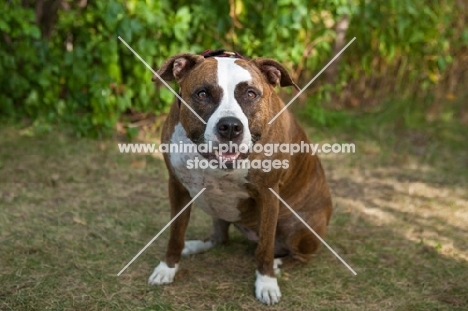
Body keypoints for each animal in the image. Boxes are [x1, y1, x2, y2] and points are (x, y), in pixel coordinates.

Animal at [148, 50, 330, 306]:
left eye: (251, 94)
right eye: (202, 93)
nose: (230, 127)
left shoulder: (268, 195)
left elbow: (264, 248)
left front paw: (266, 282)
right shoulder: (177, 186)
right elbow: (175, 234)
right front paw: (167, 268)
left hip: (301, 229)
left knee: (300, 256)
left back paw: (279, 262)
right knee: (220, 238)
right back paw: (195, 245)